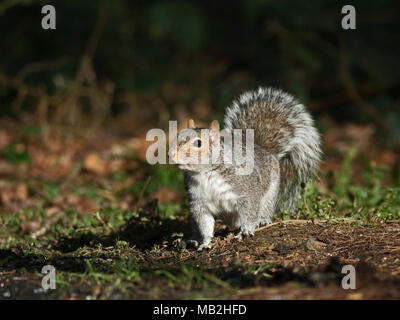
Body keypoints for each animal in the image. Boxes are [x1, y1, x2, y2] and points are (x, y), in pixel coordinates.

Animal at [167, 87, 320, 250]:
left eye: (198, 143)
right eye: (177, 135)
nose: (171, 154)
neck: (205, 174)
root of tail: (261, 148)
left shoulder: (246, 191)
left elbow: (250, 211)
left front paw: (246, 231)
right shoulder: (199, 204)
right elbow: (205, 224)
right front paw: (205, 243)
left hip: (270, 193)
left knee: (264, 208)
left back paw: (262, 220)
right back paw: (193, 239)